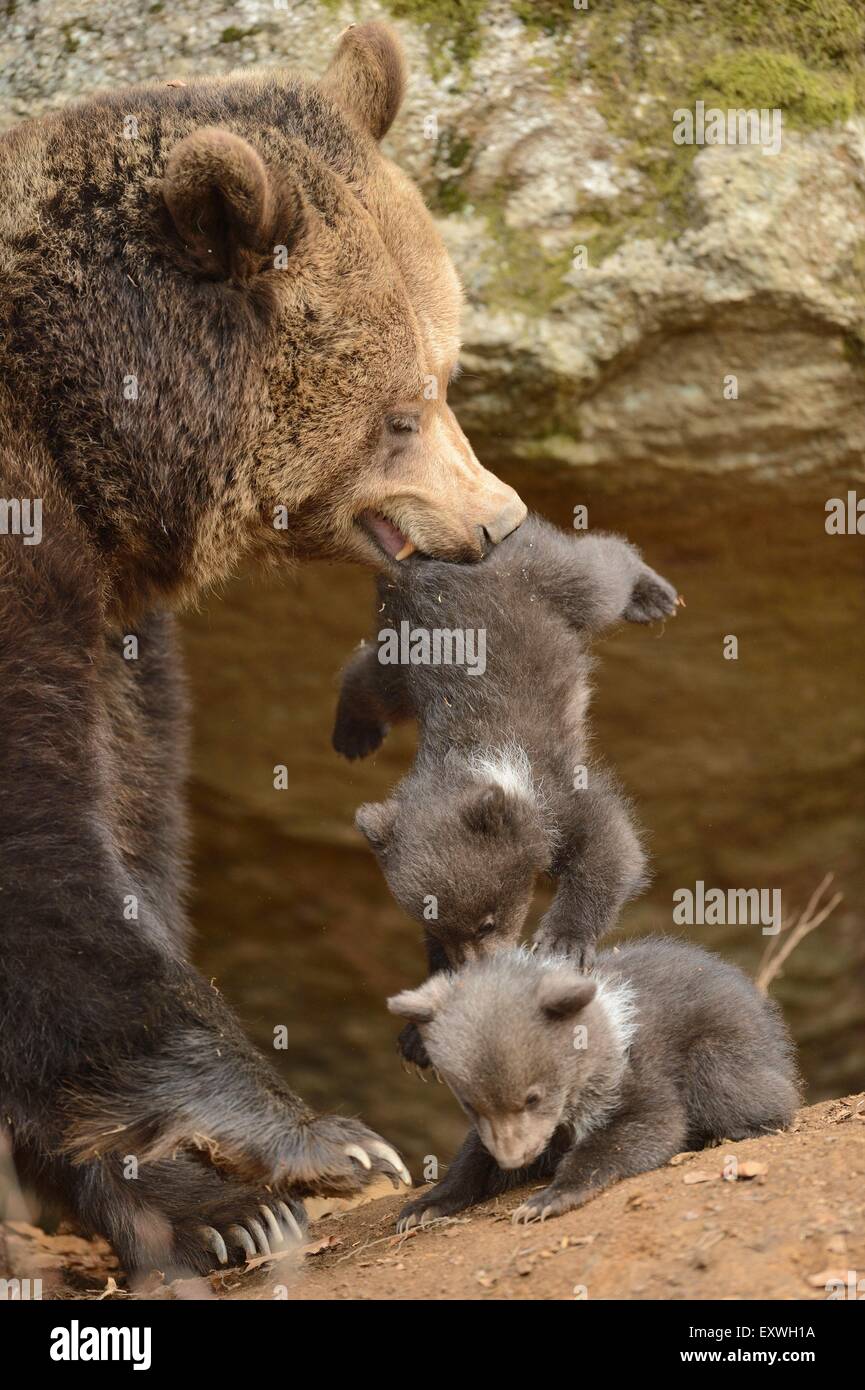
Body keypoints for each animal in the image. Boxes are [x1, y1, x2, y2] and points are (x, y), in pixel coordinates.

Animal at [0, 21, 525, 1273]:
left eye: (448, 368)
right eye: (397, 411)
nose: (500, 518)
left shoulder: (112, 632)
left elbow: (130, 817)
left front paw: (209, 1207)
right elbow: (40, 846)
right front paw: (319, 1140)